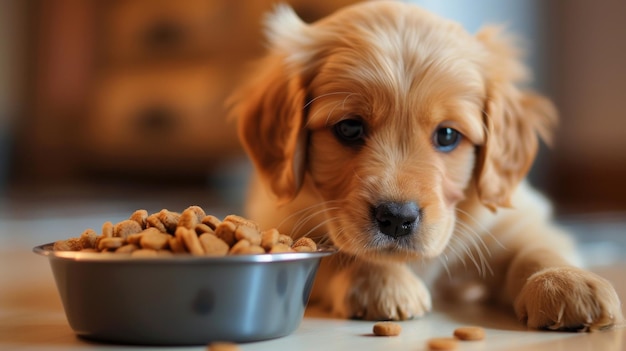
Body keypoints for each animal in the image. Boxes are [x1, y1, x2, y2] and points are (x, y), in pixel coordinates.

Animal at [229, 0, 620, 332]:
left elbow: (538, 245)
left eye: (447, 135)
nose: (397, 219)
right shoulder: (283, 220)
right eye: (349, 128)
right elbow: (341, 253)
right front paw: (383, 282)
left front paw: (565, 282)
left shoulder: (511, 219)